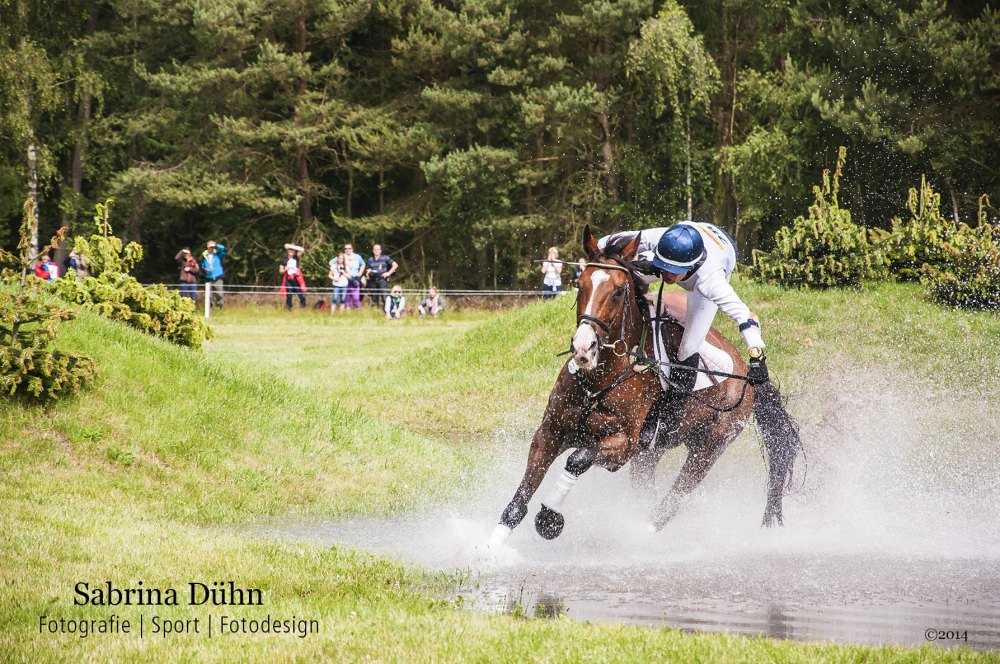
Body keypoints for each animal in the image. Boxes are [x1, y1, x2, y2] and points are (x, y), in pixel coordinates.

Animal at [488, 226, 800, 548]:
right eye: (580, 284)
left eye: (617, 291)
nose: (583, 348)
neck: (601, 376)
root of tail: (746, 377)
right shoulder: (550, 432)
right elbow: (519, 499)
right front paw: (491, 547)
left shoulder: (623, 445)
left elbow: (577, 459)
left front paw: (550, 518)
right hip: (651, 454)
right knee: (647, 489)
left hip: (709, 447)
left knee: (675, 497)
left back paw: (641, 535)